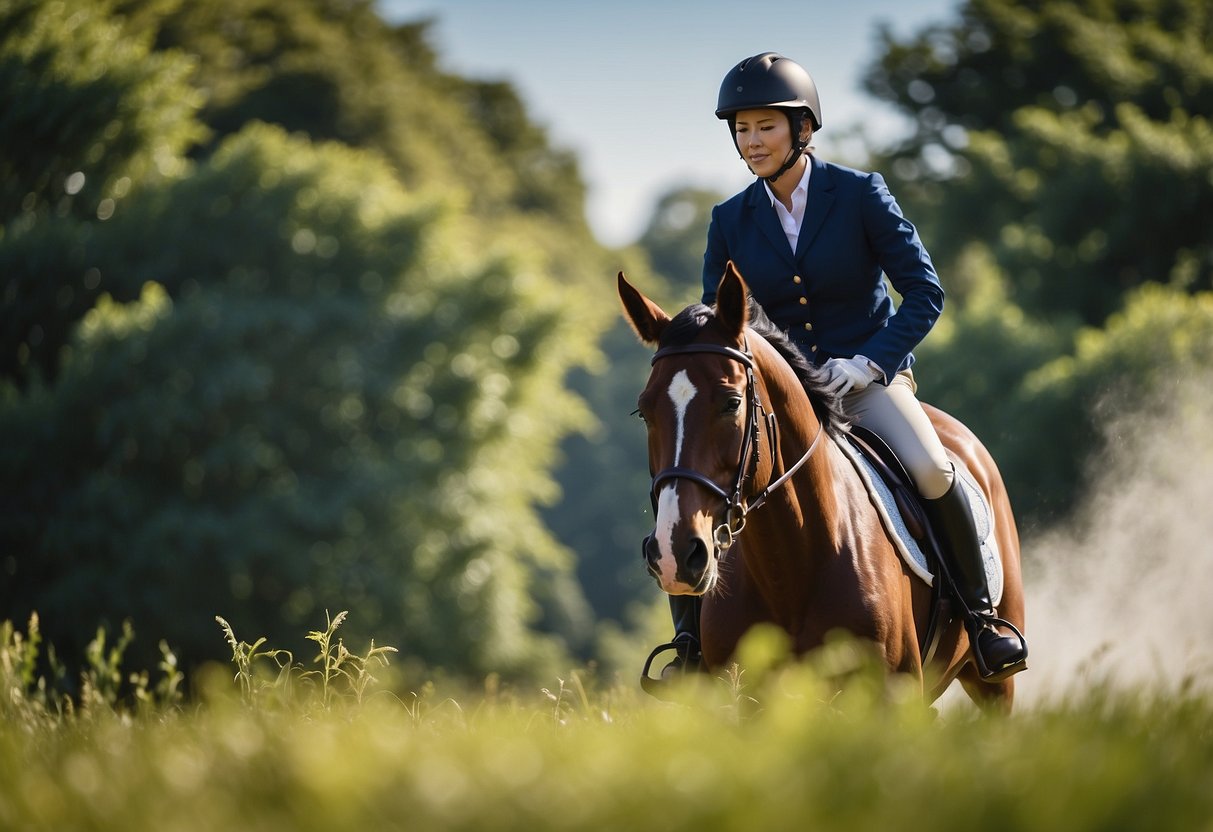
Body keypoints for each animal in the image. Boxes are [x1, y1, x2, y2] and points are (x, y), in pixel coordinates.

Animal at [616, 264, 1023, 713]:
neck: (790, 565)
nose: (676, 557)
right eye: (644, 410)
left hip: (995, 686)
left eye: (731, 402)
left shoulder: (889, 697)